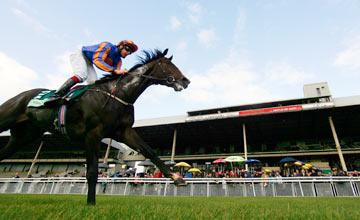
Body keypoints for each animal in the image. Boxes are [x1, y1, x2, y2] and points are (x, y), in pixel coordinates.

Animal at [0, 48, 190, 205]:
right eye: (169, 64)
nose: (185, 80)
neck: (118, 94)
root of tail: (20, 96)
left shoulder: (124, 132)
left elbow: (149, 151)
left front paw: (176, 178)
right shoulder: (93, 134)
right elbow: (92, 172)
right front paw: (91, 203)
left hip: (23, 136)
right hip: (7, 119)